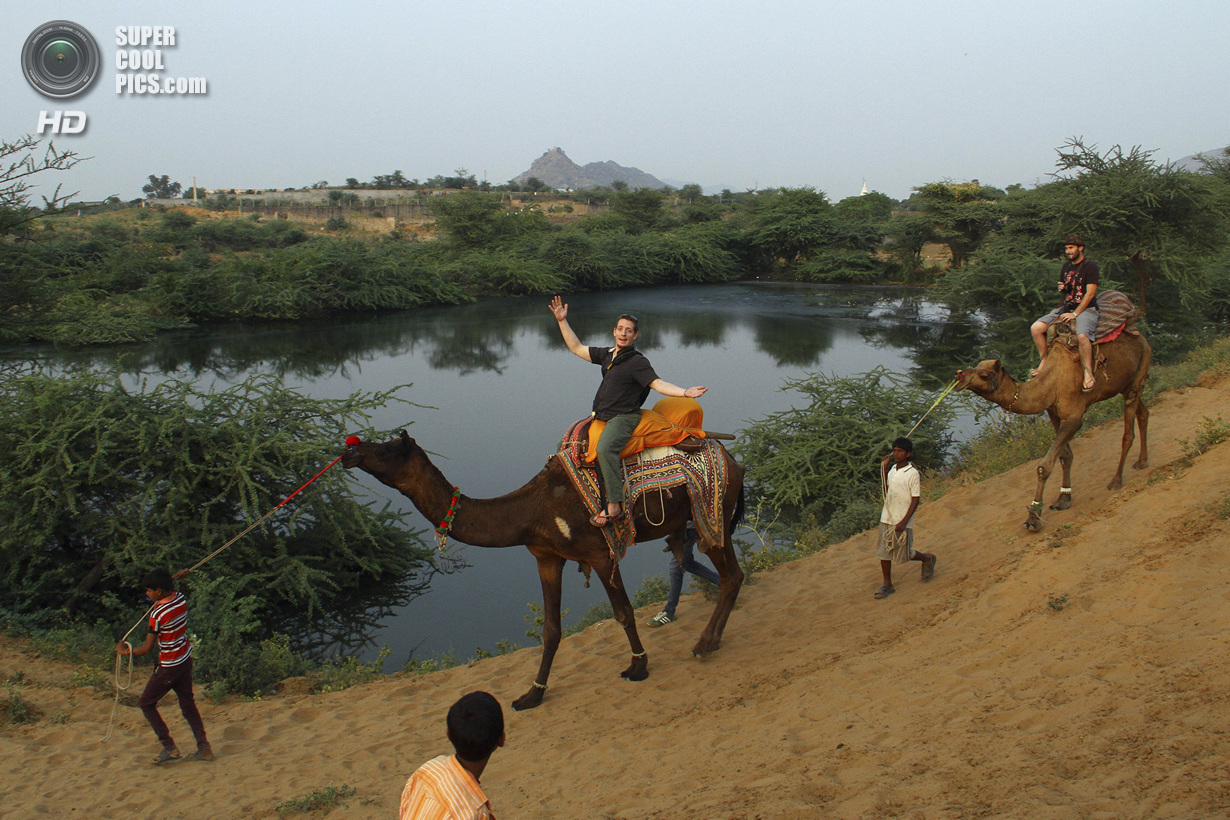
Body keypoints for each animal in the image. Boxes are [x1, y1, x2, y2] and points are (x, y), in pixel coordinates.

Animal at [341, 430, 742, 713]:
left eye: (384, 451)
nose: (349, 451)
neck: (532, 512)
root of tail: (734, 461)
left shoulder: (599, 553)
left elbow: (623, 613)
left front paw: (638, 667)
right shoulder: (546, 556)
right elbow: (551, 629)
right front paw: (531, 695)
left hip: (713, 512)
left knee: (730, 574)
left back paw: (704, 644)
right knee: (715, 569)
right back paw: (711, 638)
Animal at [949, 324, 1151, 528]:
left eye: (983, 375)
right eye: (975, 366)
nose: (958, 377)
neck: (1052, 382)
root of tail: (1141, 337)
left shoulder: (1074, 417)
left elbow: (1044, 466)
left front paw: (1033, 517)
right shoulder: (1053, 412)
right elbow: (1065, 456)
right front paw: (1063, 499)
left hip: (1139, 373)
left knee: (1128, 433)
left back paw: (1116, 481)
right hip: (1125, 385)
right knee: (1143, 413)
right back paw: (1142, 462)